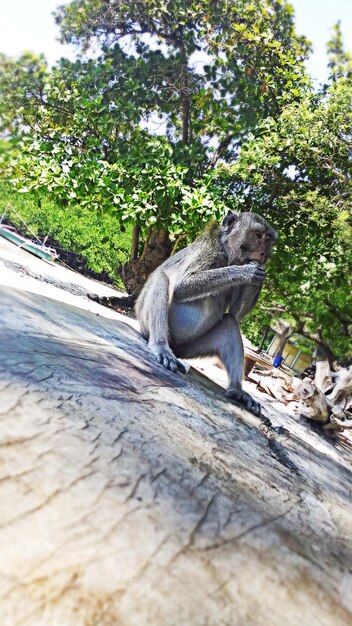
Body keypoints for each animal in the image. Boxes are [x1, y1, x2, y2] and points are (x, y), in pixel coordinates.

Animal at [136, 210, 276, 414]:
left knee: (229, 322)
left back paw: (237, 390)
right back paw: (160, 346)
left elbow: (237, 314)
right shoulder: (209, 248)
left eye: (269, 240)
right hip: (146, 323)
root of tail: (175, 347)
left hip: (190, 348)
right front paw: (246, 271)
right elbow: (182, 287)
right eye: (258, 235)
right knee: (162, 279)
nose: (264, 254)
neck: (226, 254)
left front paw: (259, 271)